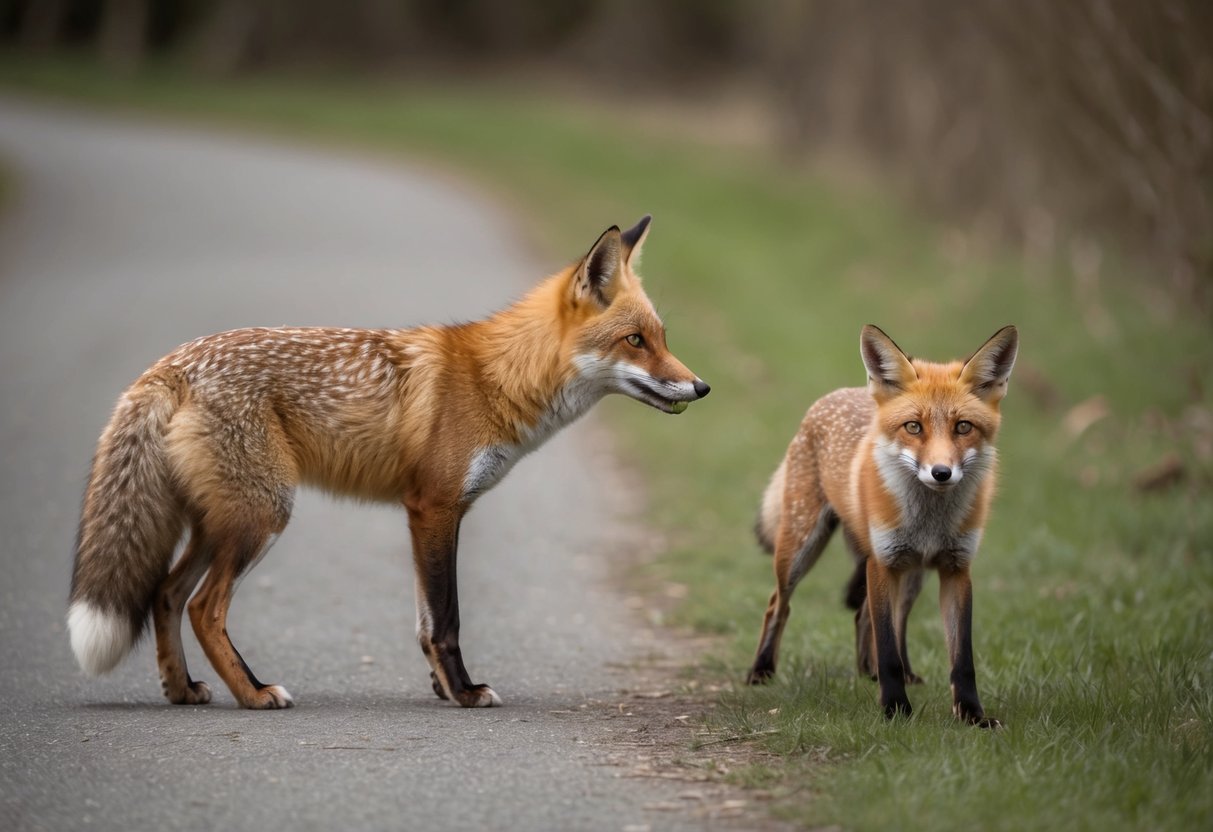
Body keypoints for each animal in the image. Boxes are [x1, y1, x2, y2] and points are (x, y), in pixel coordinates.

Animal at [67, 215, 710, 710]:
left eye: (662, 338)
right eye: (634, 341)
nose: (701, 387)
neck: (495, 379)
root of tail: (171, 363)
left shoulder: (435, 512)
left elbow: (426, 621)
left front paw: (444, 688)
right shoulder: (434, 506)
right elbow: (446, 618)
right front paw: (464, 692)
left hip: (219, 521)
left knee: (165, 594)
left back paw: (182, 690)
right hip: (262, 516)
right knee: (203, 607)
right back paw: (253, 693)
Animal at [745, 324, 1018, 727]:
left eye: (963, 427)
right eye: (914, 427)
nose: (941, 473)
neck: (928, 520)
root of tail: (837, 393)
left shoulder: (956, 569)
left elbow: (961, 658)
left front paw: (972, 716)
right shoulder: (882, 563)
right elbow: (887, 648)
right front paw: (895, 710)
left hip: (913, 574)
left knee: (869, 617)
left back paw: (872, 672)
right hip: (800, 548)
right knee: (778, 605)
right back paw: (761, 670)